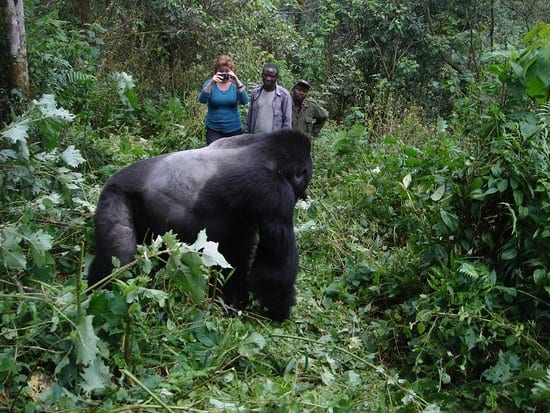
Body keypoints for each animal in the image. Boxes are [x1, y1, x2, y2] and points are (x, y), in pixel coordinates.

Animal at [90, 130, 314, 320]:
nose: (302, 195)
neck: (265, 152)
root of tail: (114, 178)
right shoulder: (275, 193)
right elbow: (273, 269)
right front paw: (279, 310)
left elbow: (234, 257)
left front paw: (232, 301)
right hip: (115, 193)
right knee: (120, 254)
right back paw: (98, 295)